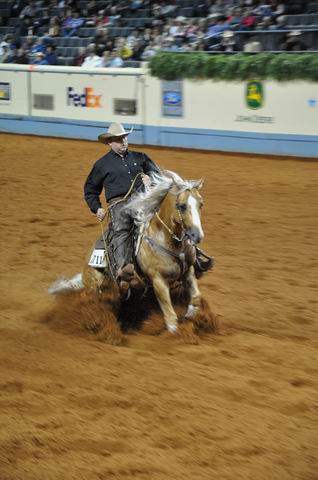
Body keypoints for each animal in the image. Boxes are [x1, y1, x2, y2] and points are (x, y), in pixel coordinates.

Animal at [48, 172, 205, 334]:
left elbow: (196, 297)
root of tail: (86, 266)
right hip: (95, 286)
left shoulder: (188, 271)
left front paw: (190, 314)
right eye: (182, 206)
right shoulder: (158, 280)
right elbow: (170, 317)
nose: (197, 235)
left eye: (201, 204)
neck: (168, 242)